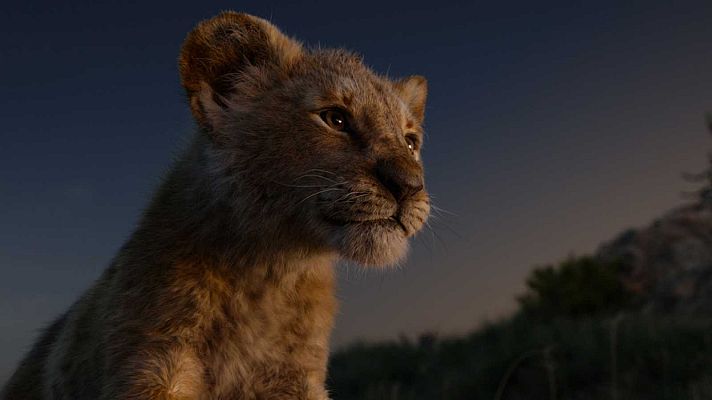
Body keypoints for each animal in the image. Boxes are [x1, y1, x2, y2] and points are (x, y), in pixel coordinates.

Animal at [2, 11, 429, 399]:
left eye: (411, 141)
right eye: (335, 119)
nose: (410, 185)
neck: (270, 273)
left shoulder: (294, 376)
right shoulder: (153, 360)